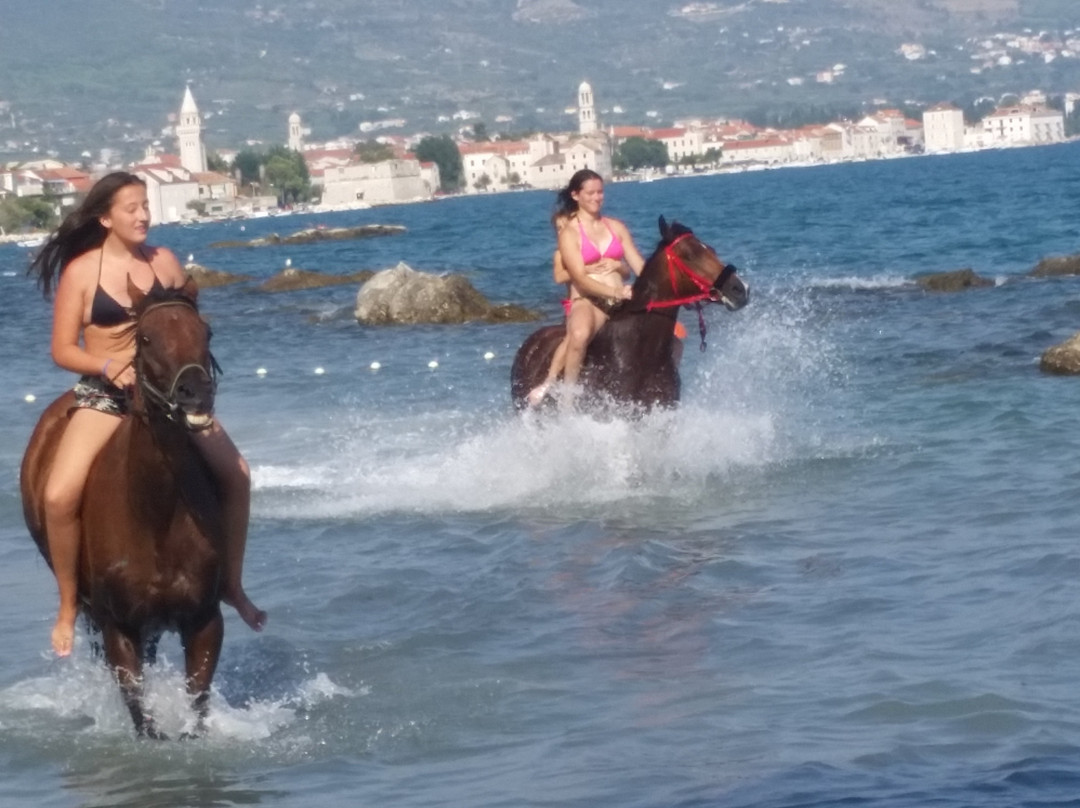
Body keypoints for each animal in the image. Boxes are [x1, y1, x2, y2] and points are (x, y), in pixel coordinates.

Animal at [21, 278, 225, 738]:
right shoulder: (118, 626)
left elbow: (197, 703)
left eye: (207, 332)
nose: (196, 395)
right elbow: (140, 713)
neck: (155, 515)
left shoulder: (204, 619)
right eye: (146, 338)